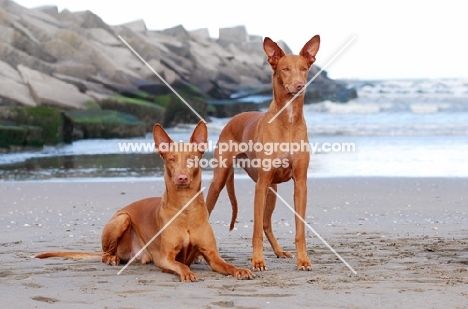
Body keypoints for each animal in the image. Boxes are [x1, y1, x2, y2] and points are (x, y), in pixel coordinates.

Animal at [207, 35, 320, 270]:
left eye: (304, 69)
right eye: (285, 69)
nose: (300, 86)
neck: (288, 119)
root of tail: (234, 117)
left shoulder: (300, 184)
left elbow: (299, 229)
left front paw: (303, 259)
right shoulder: (260, 185)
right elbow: (256, 229)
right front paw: (258, 260)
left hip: (272, 189)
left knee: (267, 223)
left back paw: (278, 251)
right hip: (221, 180)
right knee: (208, 211)